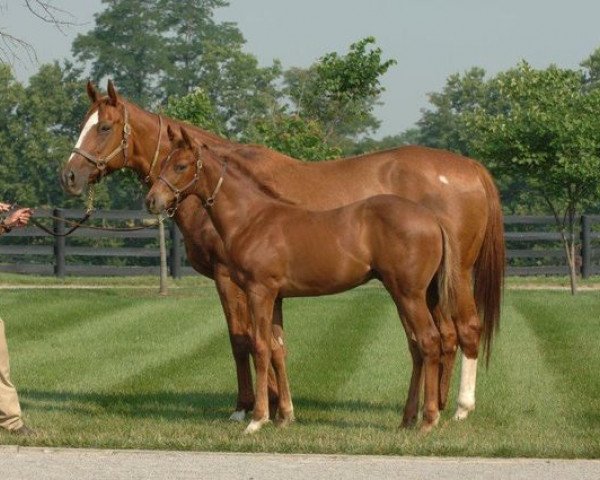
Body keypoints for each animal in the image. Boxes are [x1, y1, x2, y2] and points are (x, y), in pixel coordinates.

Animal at [145, 127, 454, 436]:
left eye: (180, 166)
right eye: (163, 162)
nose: (152, 201)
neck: (252, 219)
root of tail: (433, 220)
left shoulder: (259, 292)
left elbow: (260, 347)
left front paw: (258, 418)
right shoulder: (276, 298)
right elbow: (277, 348)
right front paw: (284, 416)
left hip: (409, 294)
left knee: (429, 341)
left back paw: (429, 419)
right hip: (411, 294)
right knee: (417, 347)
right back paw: (407, 419)